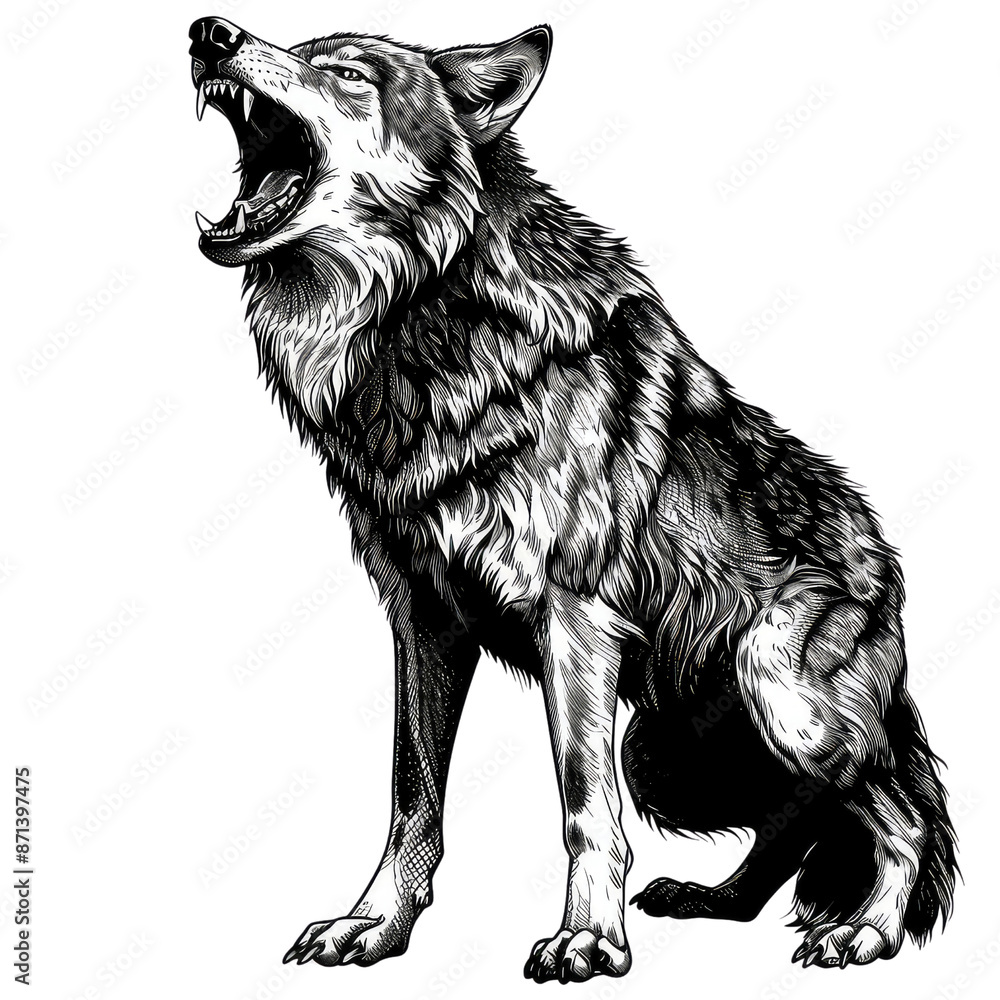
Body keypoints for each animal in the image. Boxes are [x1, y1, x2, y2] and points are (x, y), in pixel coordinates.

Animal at [188, 16, 957, 982]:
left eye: (348, 73)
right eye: (298, 48)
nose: (210, 33)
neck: (420, 322)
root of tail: (885, 558)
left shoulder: (575, 619)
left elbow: (585, 807)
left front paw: (588, 938)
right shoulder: (423, 618)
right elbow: (411, 792)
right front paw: (376, 923)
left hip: (781, 703)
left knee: (898, 812)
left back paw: (866, 932)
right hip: (666, 751)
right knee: (797, 820)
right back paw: (712, 901)